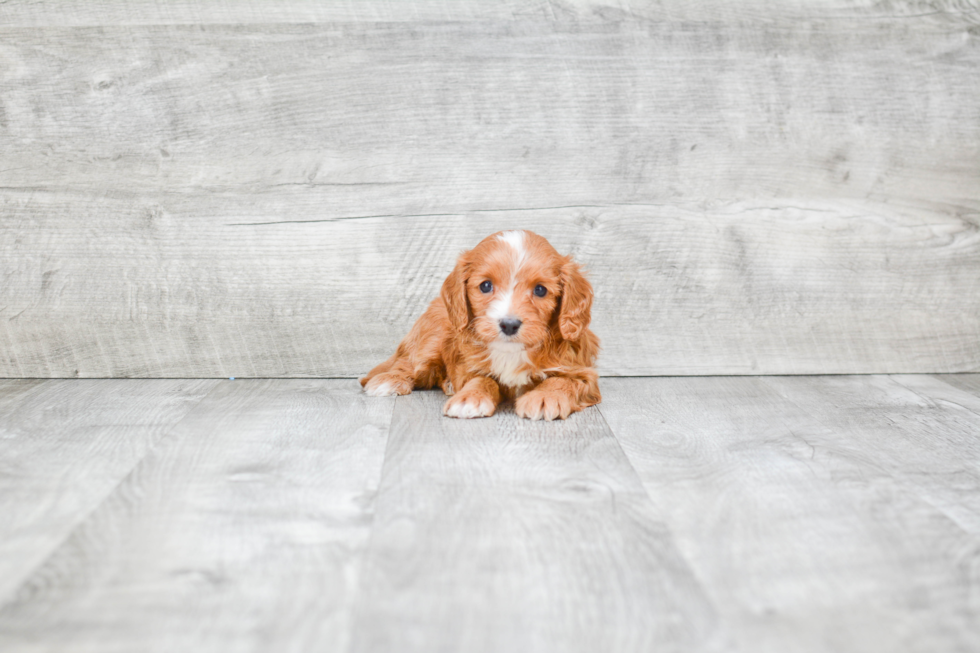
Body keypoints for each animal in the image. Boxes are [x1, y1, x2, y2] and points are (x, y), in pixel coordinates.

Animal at [362, 232, 596, 420]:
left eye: (540, 290)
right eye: (485, 285)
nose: (509, 324)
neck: (511, 352)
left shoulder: (583, 372)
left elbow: (564, 381)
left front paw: (545, 396)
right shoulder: (469, 366)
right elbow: (481, 379)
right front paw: (469, 397)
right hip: (432, 337)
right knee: (409, 363)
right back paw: (389, 380)